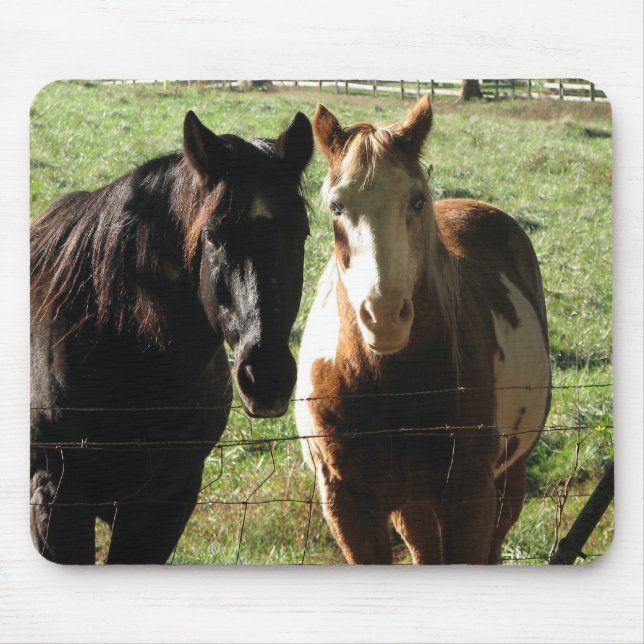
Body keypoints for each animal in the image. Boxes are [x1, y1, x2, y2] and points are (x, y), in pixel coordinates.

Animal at [295, 96, 551, 564]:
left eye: (415, 201)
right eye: (336, 206)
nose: (383, 315)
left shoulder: (470, 498)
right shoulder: (347, 507)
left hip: (509, 479)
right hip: (412, 502)